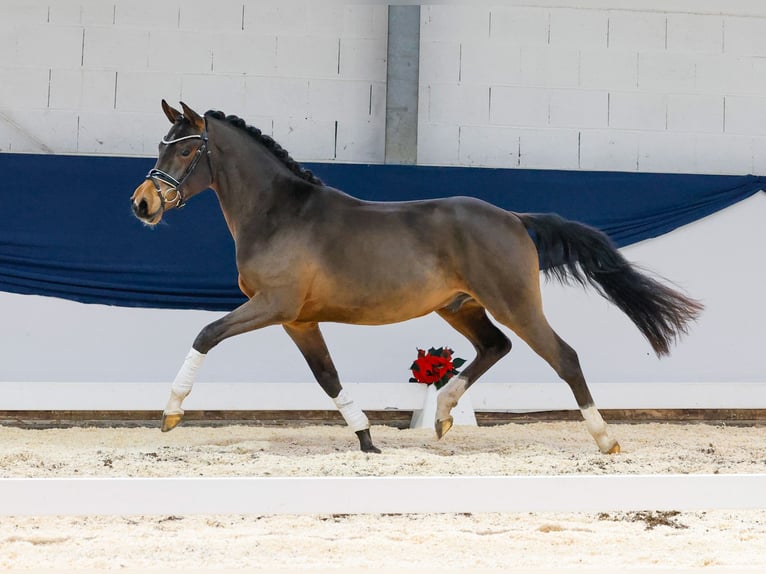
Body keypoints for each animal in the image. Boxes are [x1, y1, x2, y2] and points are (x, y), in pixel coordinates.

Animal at [130, 102, 704, 454]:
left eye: (187, 148)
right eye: (161, 145)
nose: (143, 204)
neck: (280, 214)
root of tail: (514, 218)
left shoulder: (274, 305)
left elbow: (205, 333)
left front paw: (171, 414)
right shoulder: (299, 320)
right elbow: (327, 377)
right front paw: (367, 439)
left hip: (514, 303)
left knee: (563, 356)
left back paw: (606, 440)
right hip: (459, 306)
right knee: (495, 347)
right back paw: (445, 414)